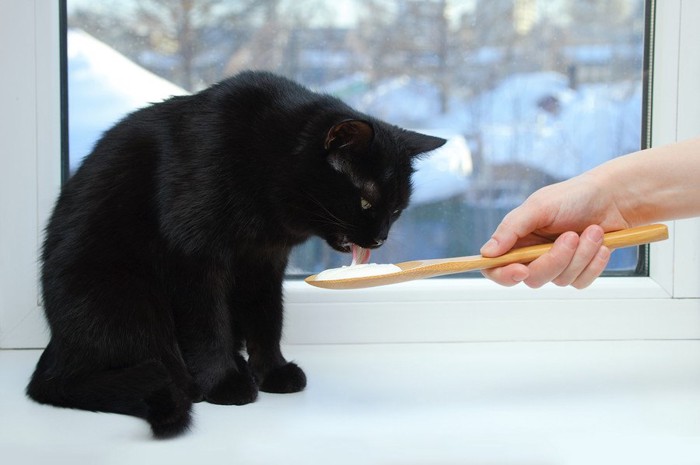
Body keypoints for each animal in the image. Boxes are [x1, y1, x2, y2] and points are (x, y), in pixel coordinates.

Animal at [27, 70, 446, 436]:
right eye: (365, 201)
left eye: (397, 209)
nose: (379, 239)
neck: (265, 161)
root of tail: (55, 352)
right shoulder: (194, 254)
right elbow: (207, 325)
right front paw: (223, 382)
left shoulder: (263, 262)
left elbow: (267, 318)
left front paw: (273, 371)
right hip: (130, 297)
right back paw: (189, 383)